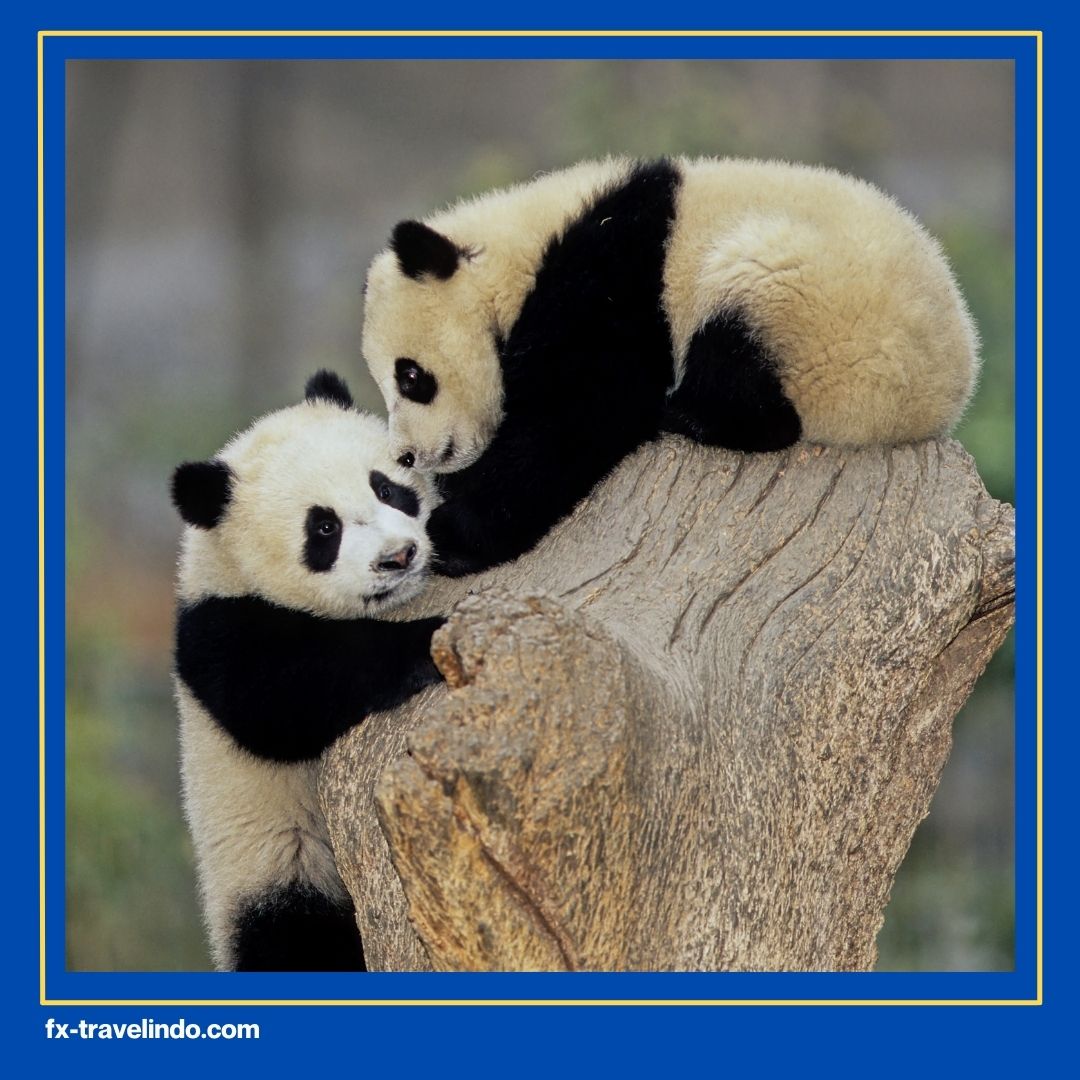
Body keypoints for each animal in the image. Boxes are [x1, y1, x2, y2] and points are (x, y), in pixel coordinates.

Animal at [170, 370, 444, 972]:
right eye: (323, 528)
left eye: (385, 488)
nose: (398, 556)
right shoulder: (218, 632)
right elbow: (281, 701)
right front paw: (429, 639)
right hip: (279, 874)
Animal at [362, 156, 979, 576]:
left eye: (410, 377)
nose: (408, 455)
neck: (516, 252)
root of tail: (943, 397)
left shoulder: (608, 275)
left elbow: (583, 410)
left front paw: (456, 533)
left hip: (825, 312)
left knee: (749, 345)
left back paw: (686, 415)